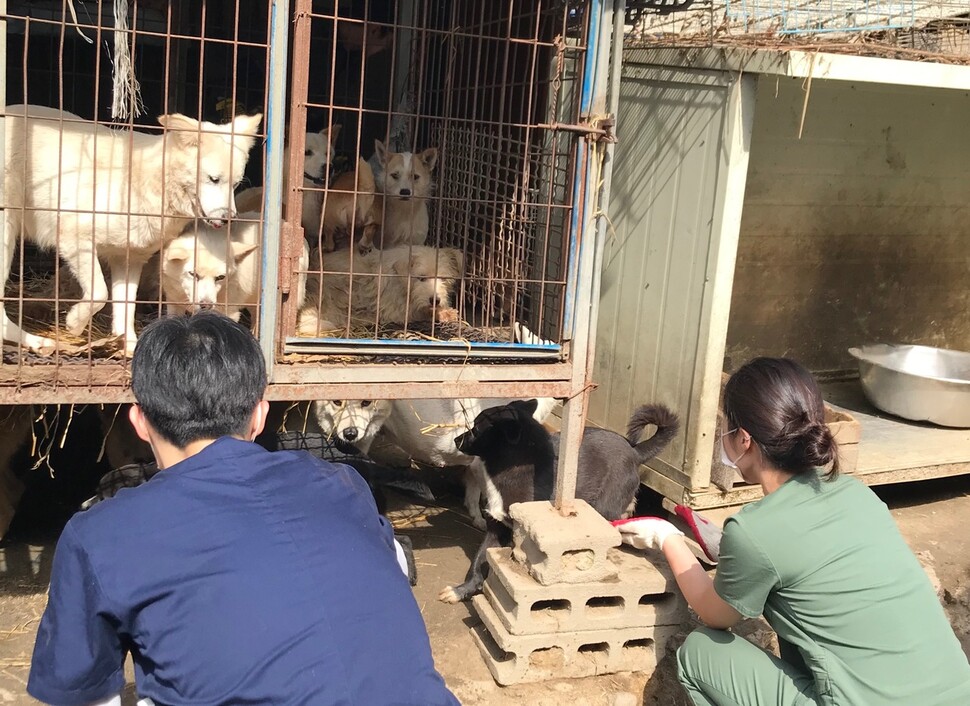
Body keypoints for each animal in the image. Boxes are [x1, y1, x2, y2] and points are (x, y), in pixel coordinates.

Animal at [0, 104, 260, 352]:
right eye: (213, 179)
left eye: (235, 184)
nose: (229, 219)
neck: (148, 184)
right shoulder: (75, 239)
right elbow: (100, 293)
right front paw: (75, 324)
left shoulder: (128, 259)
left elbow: (125, 308)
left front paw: (130, 346)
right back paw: (34, 340)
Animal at [298, 243, 466, 334]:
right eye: (421, 278)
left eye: (444, 279)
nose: (435, 300)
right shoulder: (396, 310)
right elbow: (419, 313)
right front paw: (443, 314)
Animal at [436, 398, 672, 604]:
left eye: (476, 428)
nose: (456, 440)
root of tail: (635, 451)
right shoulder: (495, 528)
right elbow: (478, 562)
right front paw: (462, 590)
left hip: (605, 507)